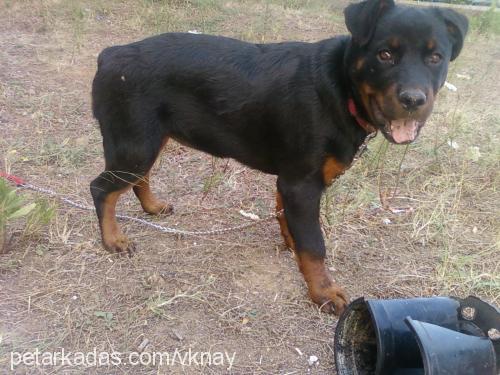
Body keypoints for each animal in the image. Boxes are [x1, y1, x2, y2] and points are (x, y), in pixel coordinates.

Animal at [91, 0, 468, 318]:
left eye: (436, 58)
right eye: (385, 54)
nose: (413, 100)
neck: (340, 87)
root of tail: (109, 55)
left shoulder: (291, 180)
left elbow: (287, 219)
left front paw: (292, 246)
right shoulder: (301, 182)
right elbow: (315, 244)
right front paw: (323, 292)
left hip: (147, 141)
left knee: (137, 179)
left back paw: (152, 207)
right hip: (136, 144)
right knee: (101, 189)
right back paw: (113, 239)